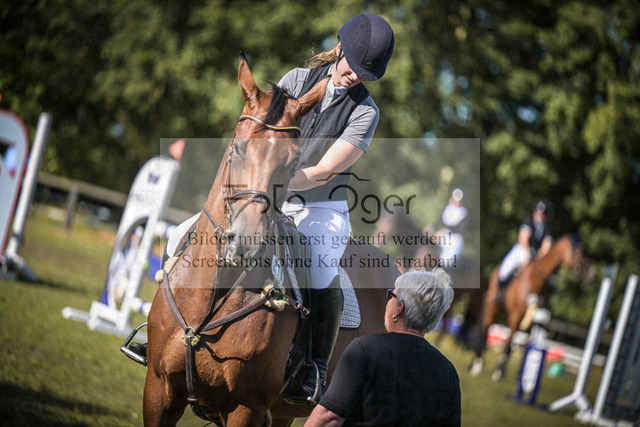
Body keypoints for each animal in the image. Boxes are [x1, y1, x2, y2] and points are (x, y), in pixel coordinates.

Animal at [469, 235, 590, 380]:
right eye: (578, 251)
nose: (591, 274)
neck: (535, 282)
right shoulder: (516, 317)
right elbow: (509, 342)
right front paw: (499, 371)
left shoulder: (537, 322)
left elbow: (528, 347)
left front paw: (522, 376)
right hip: (492, 309)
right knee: (485, 329)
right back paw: (477, 364)